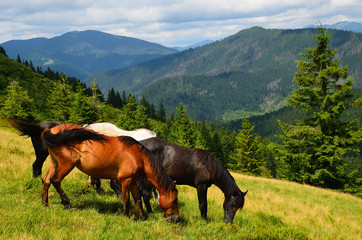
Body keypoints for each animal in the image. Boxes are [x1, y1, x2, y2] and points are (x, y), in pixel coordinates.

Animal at [40, 124, 179, 222]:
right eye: (174, 200)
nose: (176, 219)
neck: (138, 156)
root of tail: (51, 131)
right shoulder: (125, 181)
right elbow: (126, 200)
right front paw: (126, 216)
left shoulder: (133, 181)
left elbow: (138, 200)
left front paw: (144, 218)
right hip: (67, 164)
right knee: (55, 180)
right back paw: (66, 203)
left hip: (55, 163)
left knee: (46, 180)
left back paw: (45, 204)